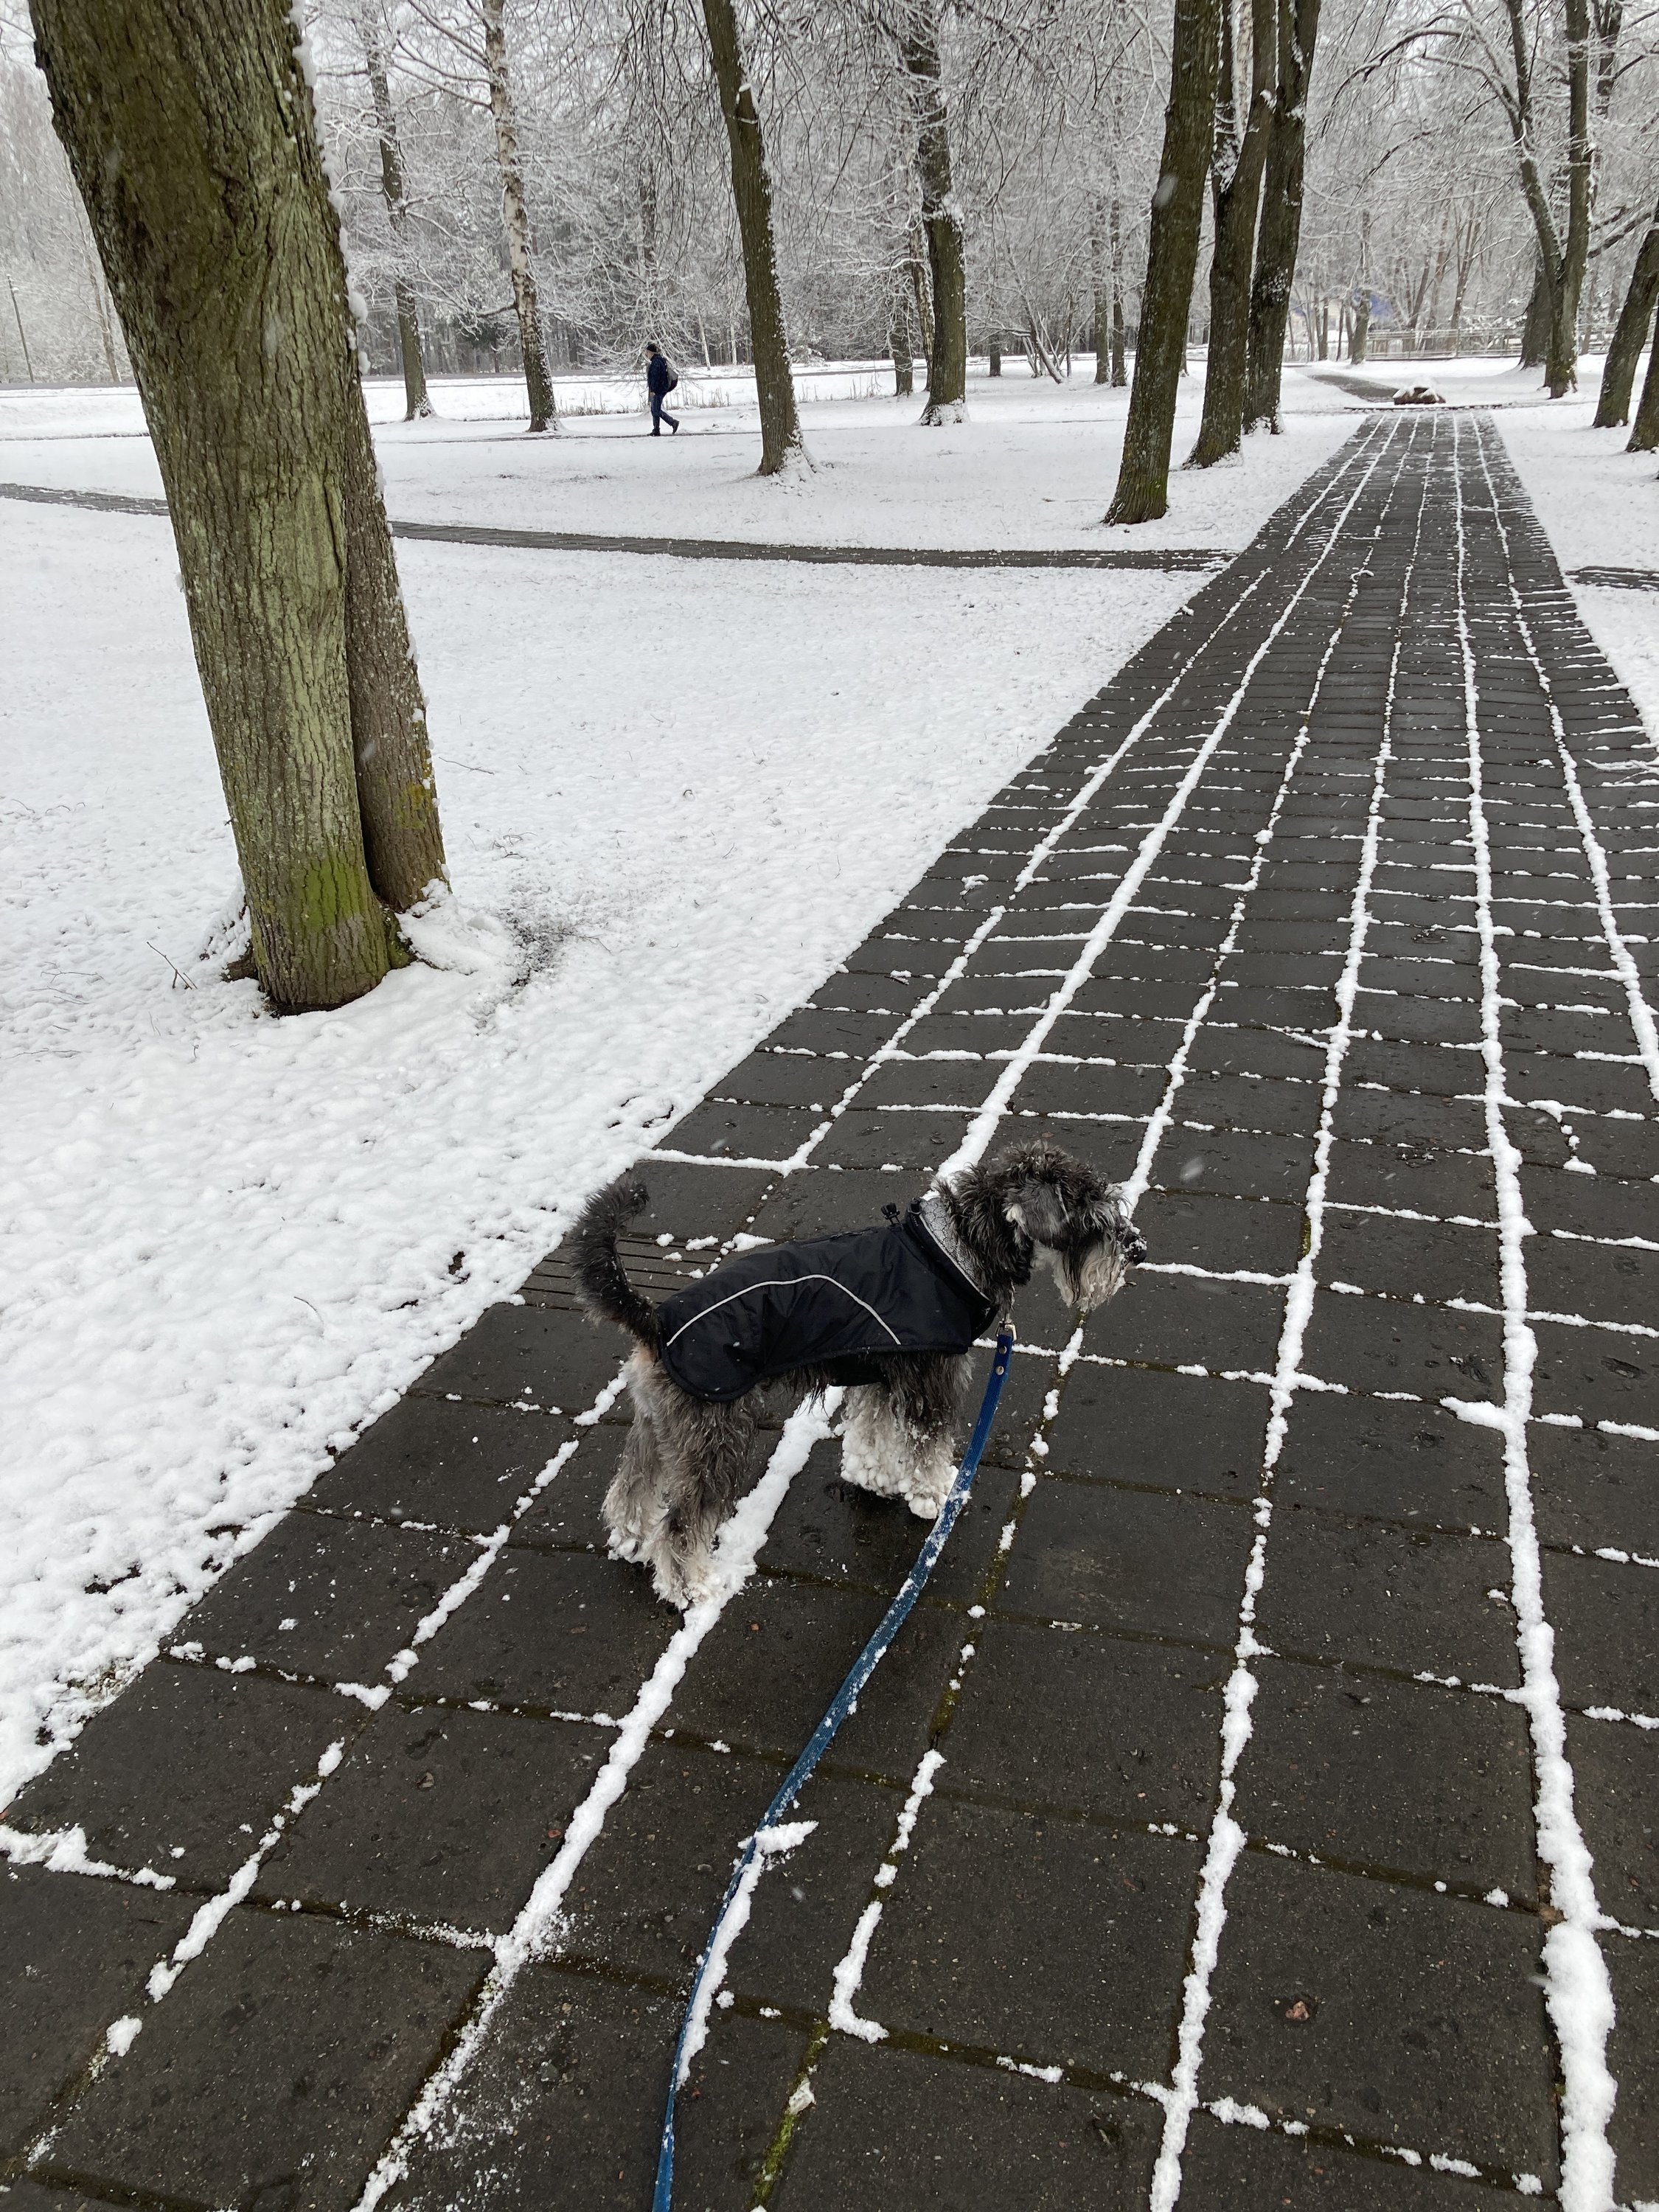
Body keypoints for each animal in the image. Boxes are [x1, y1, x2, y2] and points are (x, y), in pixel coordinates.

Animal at [571, 1139, 1146, 1608]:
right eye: (1091, 1218)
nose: (1137, 1249)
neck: (954, 1248)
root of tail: (655, 1322)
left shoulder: (881, 1376)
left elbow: (872, 1430)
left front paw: (873, 1477)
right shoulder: (932, 1384)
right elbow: (928, 1445)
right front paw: (935, 1497)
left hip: (662, 1427)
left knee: (632, 1484)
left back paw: (629, 1538)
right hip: (717, 1437)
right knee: (682, 1524)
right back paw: (689, 1587)